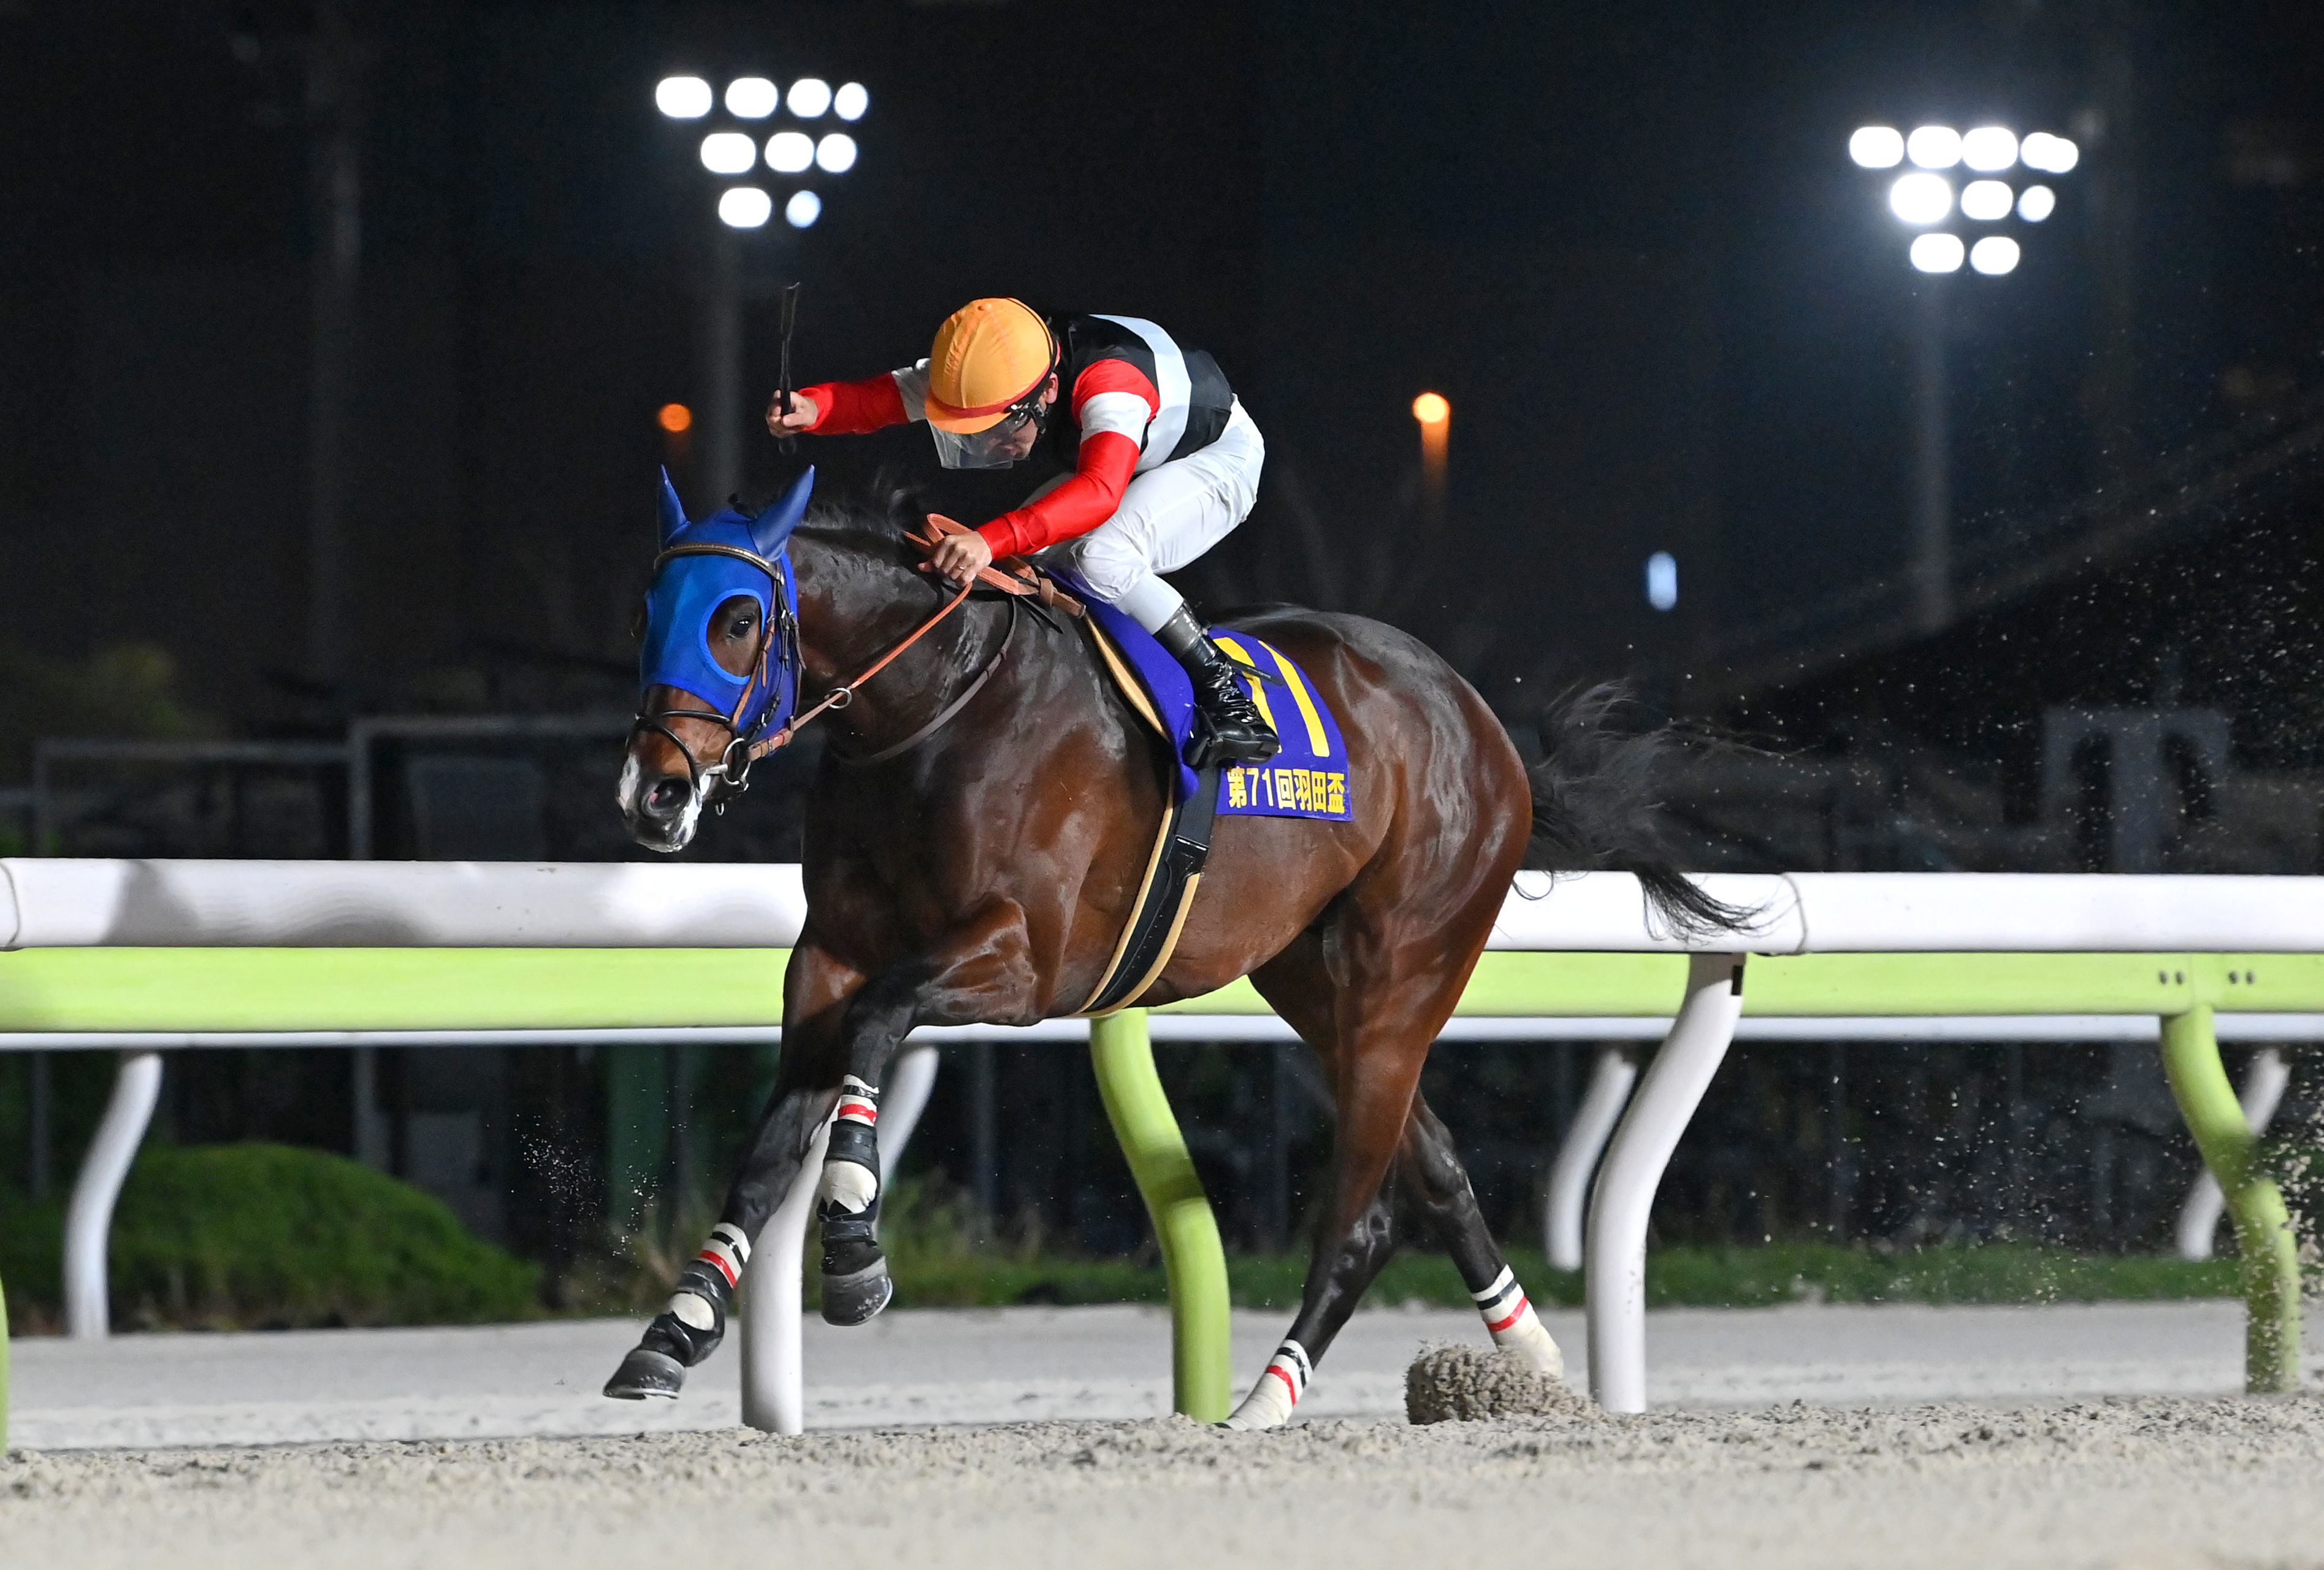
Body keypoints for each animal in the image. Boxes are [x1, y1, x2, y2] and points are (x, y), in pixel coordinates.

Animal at [604, 467, 1733, 1425]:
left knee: (1363, 1216)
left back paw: (1265, 1402)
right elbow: (767, 1152)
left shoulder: (1026, 962)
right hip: (1312, 981)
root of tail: (1489, 731)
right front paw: (675, 1332)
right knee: (1439, 1169)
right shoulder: (828, 960)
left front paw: (850, 1251)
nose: (653, 792)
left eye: (738, 616)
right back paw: (1531, 1354)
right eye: (650, 613)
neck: (932, 708)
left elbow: (881, 1026)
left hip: (1408, 964)